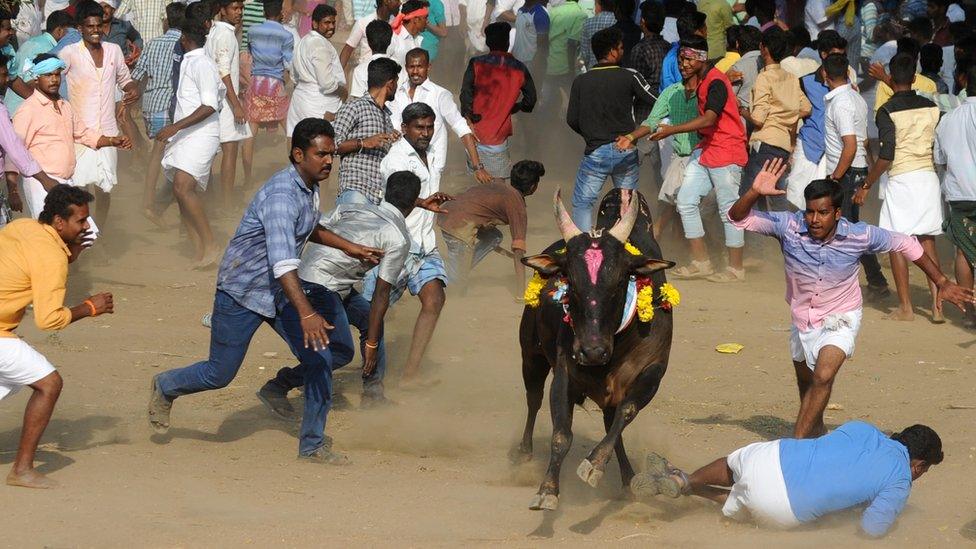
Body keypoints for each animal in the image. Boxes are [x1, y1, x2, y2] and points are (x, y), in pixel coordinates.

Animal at [516, 188, 676, 510]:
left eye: (619, 281)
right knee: (533, 398)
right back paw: (526, 452)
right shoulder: (564, 373)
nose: (591, 352)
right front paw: (548, 489)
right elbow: (561, 435)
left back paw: (626, 477)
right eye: (570, 281)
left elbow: (625, 413)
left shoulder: (653, 371)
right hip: (531, 356)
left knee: (610, 422)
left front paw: (596, 463)